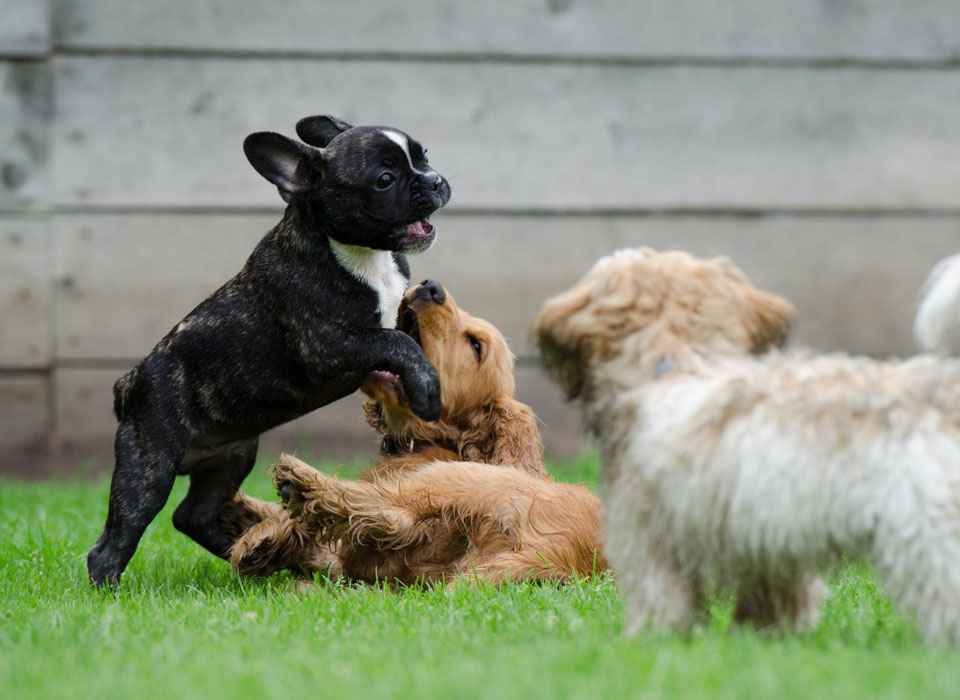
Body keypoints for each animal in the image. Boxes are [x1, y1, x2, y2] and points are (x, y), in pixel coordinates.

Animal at [85, 115, 450, 584]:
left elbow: (406, 336)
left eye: (424, 157)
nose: (436, 179)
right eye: (384, 180)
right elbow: (396, 340)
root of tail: (128, 384)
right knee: (115, 540)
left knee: (192, 515)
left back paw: (249, 554)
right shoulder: (328, 347)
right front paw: (427, 390)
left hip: (233, 455)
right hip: (149, 468)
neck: (363, 255)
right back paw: (110, 590)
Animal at [532, 249, 960, 644]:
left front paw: (653, 640)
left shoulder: (649, 536)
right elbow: (774, 600)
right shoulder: (768, 546)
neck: (678, 362)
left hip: (927, 531)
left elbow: (661, 598)